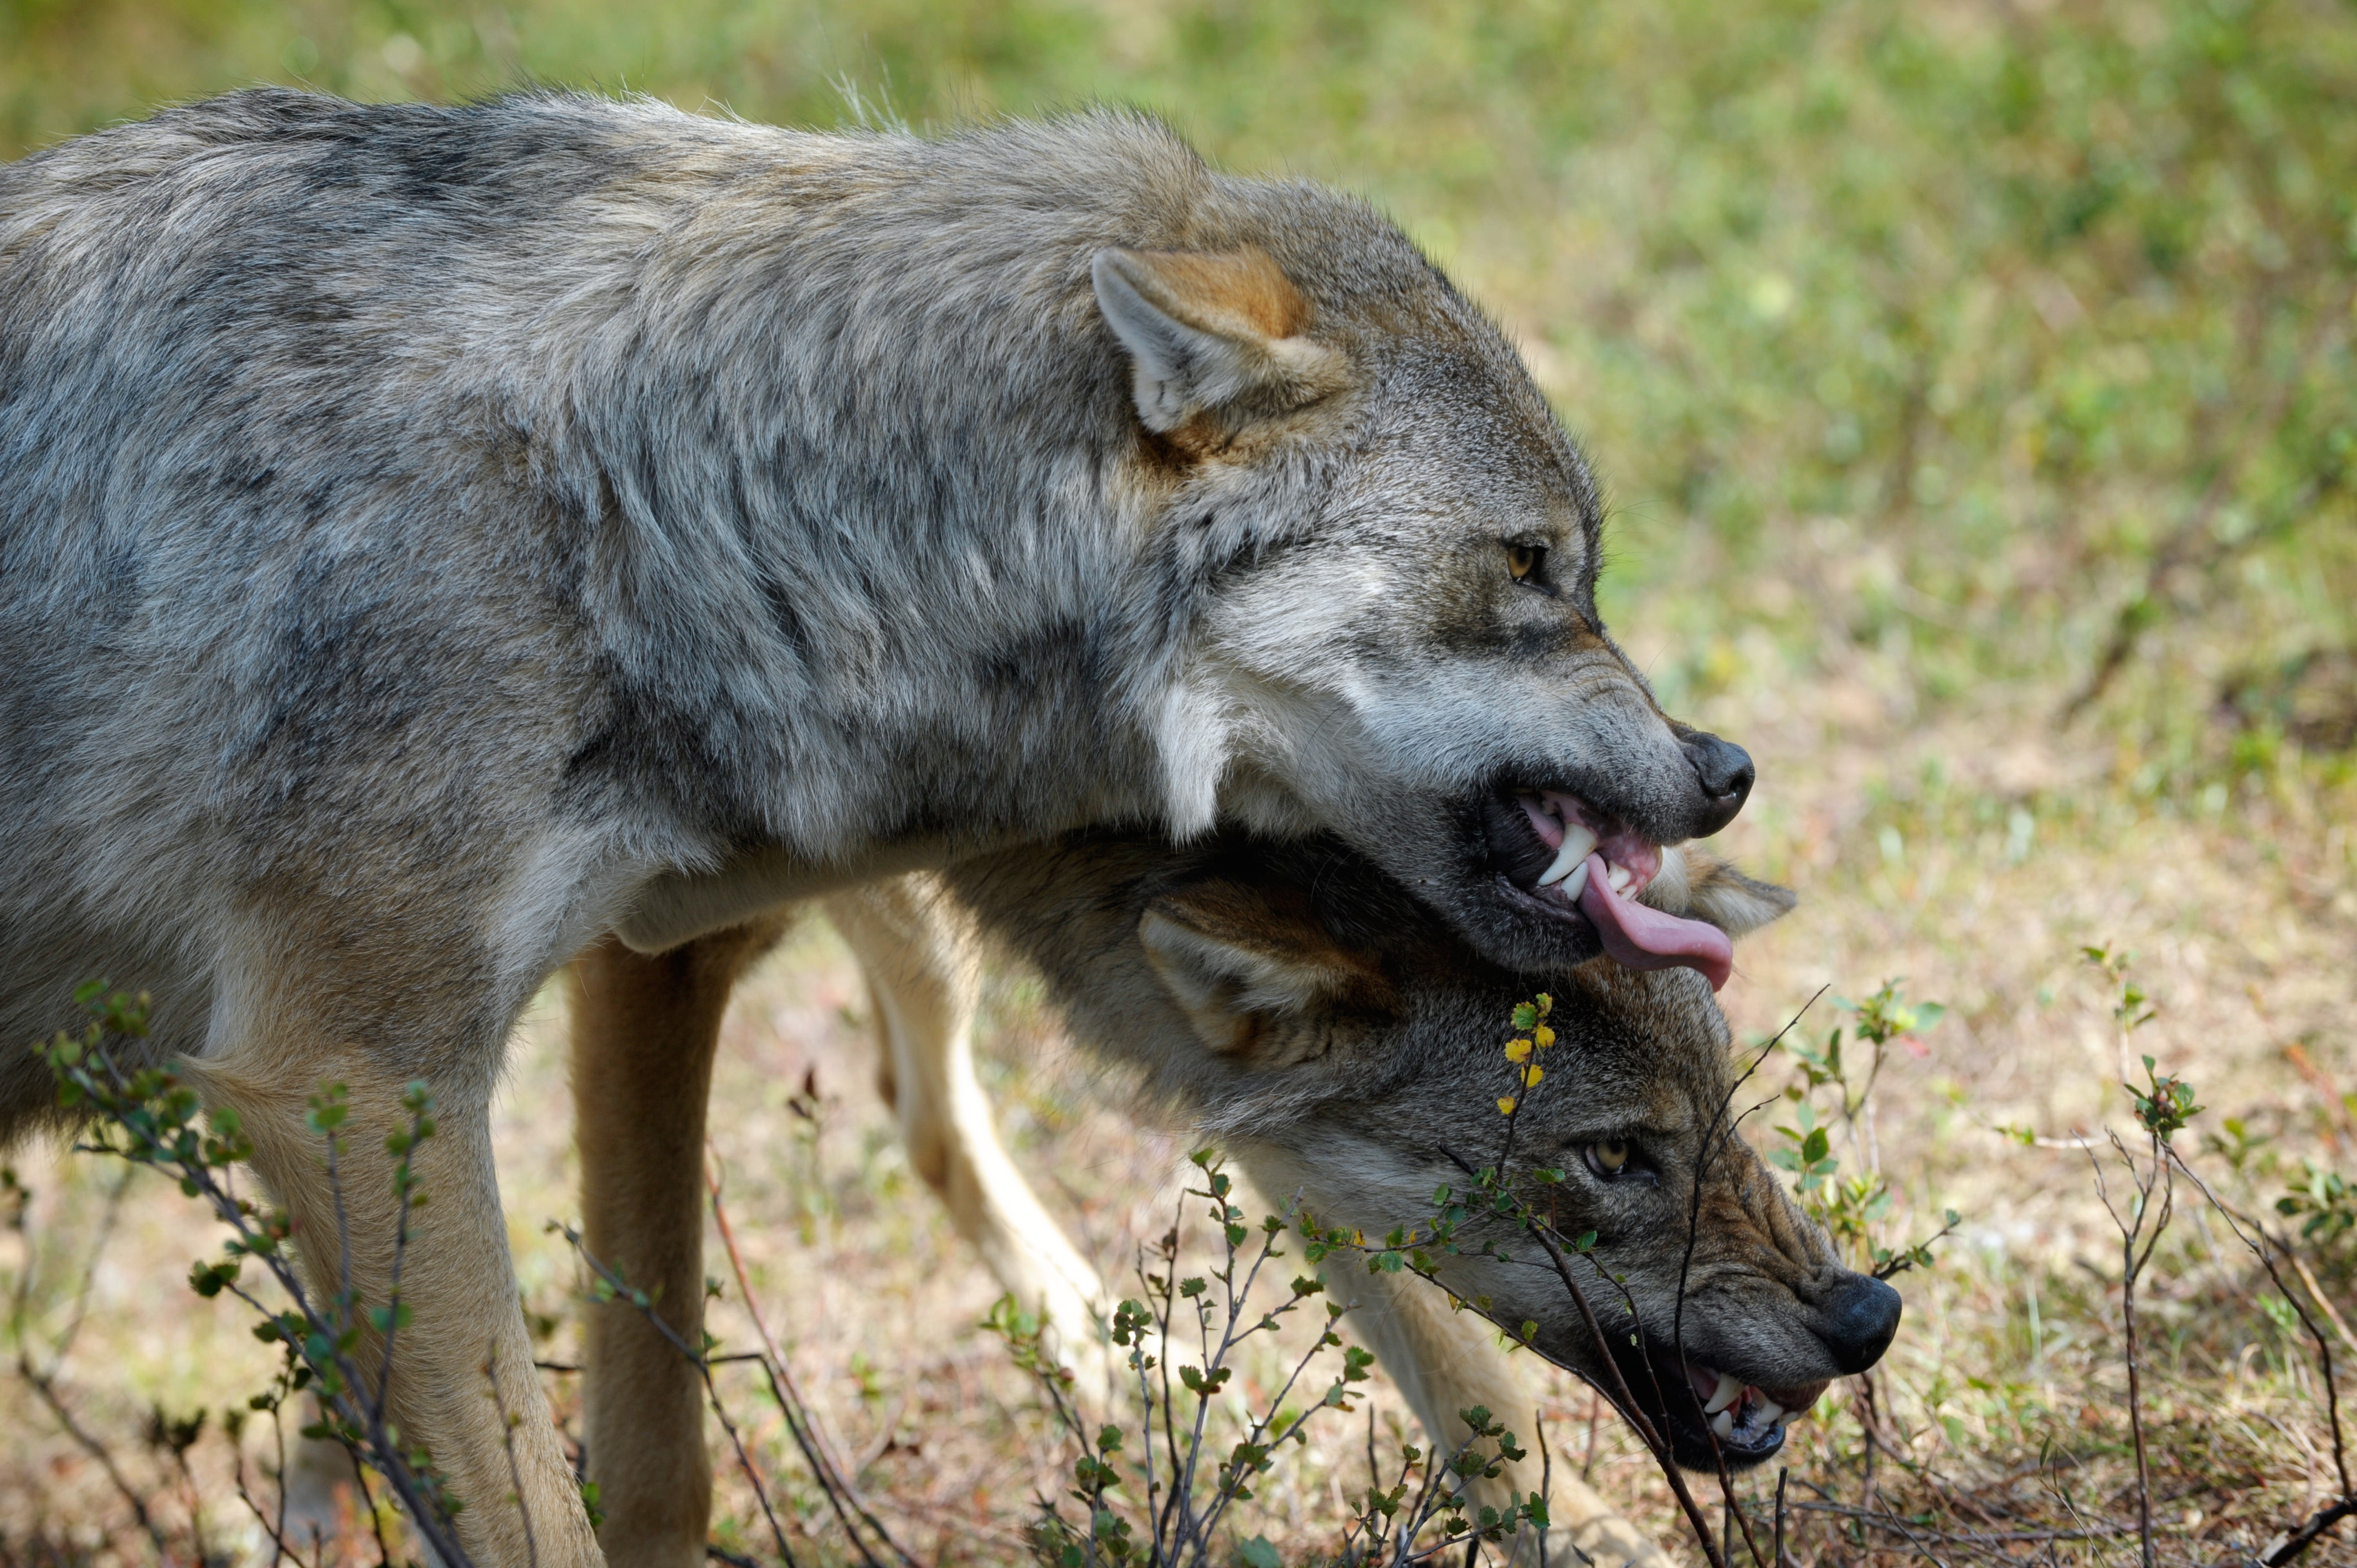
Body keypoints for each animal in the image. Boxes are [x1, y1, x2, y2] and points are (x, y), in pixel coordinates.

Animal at [0, 88, 1757, 1563]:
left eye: (1580, 566)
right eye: (1530, 566)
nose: (1727, 767)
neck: (656, 489)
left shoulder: (648, 953)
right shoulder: (356, 1076)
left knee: (925, 1106)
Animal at [567, 839, 1898, 1568]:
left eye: (1725, 1101)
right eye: (1613, 1156)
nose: (1870, 1318)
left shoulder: (1254, 1103)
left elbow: (1462, 1374)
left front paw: (1579, 1537)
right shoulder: (639, 946)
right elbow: (652, 1455)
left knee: (920, 1111)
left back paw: (1106, 1351)